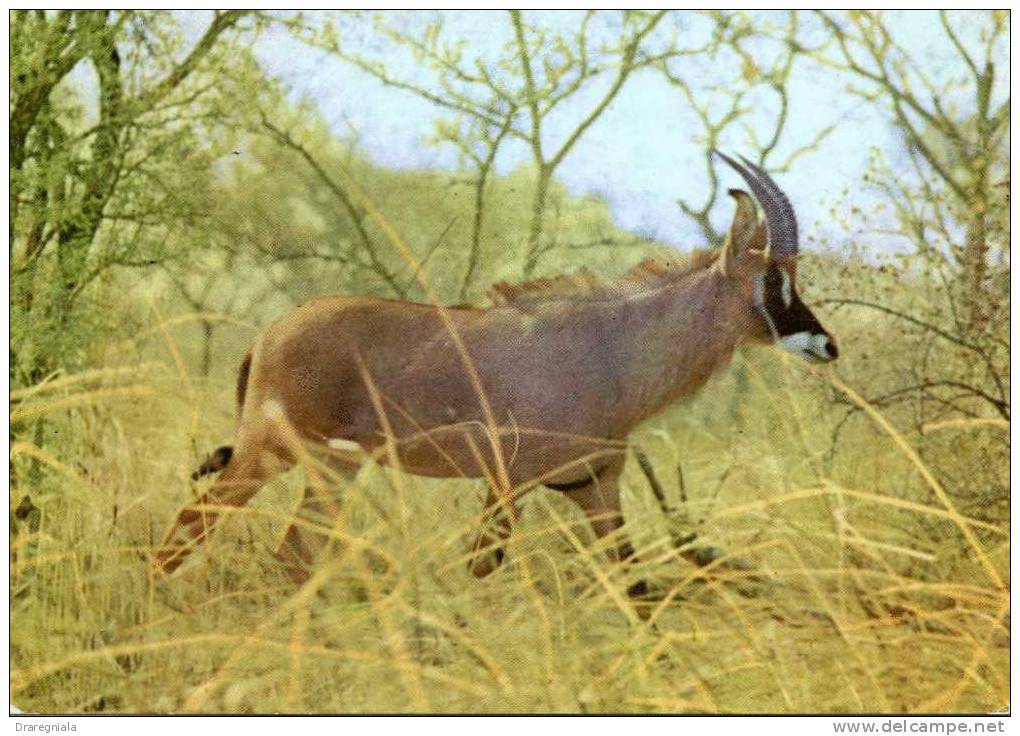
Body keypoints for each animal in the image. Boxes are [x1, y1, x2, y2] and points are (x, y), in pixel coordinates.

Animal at [150, 150, 836, 595]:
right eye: (772, 278)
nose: (825, 344)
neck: (611, 348)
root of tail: (268, 335)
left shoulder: (596, 484)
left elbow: (632, 580)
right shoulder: (509, 482)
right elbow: (482, 567)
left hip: (330, 471)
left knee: (289, 552)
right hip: (271, 455)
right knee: (189, 530)